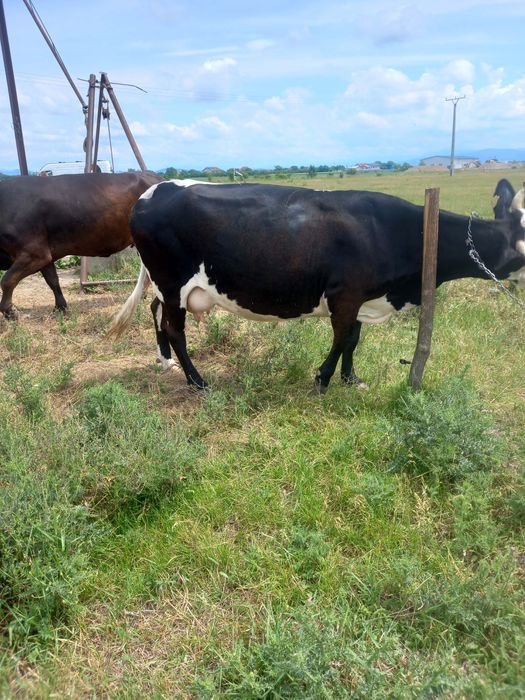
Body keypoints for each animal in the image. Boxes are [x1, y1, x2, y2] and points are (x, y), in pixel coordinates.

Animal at [0, 171, 161, 319]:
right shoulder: (44, 255)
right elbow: (52, 281)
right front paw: (60, 308)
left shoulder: (34, 253)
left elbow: (7, 281)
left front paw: (10, 312)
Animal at [109, 179, 525, 392]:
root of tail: (150, 191)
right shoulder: (345, 294)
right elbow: (341, 338)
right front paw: (323, 379)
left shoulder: (360, 296)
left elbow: (353, 339)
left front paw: (351, 378)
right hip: (173, 281)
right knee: (174, 329)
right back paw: (198, 382)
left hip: (166, 286)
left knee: (156, 314)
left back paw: (165, 361)